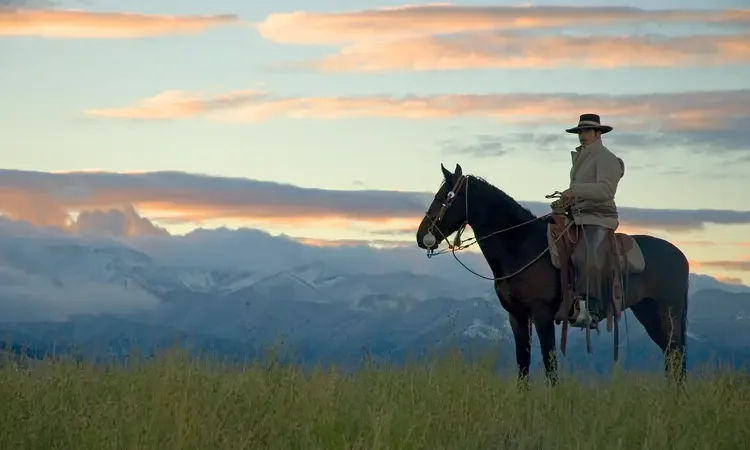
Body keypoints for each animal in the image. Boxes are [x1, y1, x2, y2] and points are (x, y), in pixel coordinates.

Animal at [414, 163, 692, 384]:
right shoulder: (517, 316)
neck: (522, 245)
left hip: (668, 312)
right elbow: (523, 365)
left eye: (446, 196)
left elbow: (550, 366)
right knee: (671, 356)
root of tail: (680, 256)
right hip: (648, 312)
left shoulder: (542, 314)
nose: (421, 236)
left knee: (676, 355)